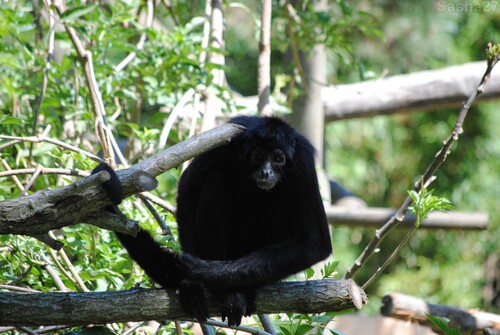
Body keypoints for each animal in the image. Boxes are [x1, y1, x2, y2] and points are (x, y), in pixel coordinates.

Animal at [94, 117, 334, 326]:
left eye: (277, 159)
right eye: (258, 156)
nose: (266, 172)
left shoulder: (302, 163)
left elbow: (315, 244)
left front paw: (204, 272)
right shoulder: (228, 141)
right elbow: (189, 186)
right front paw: (193, 282)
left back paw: (238, 291)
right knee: (217, 178)